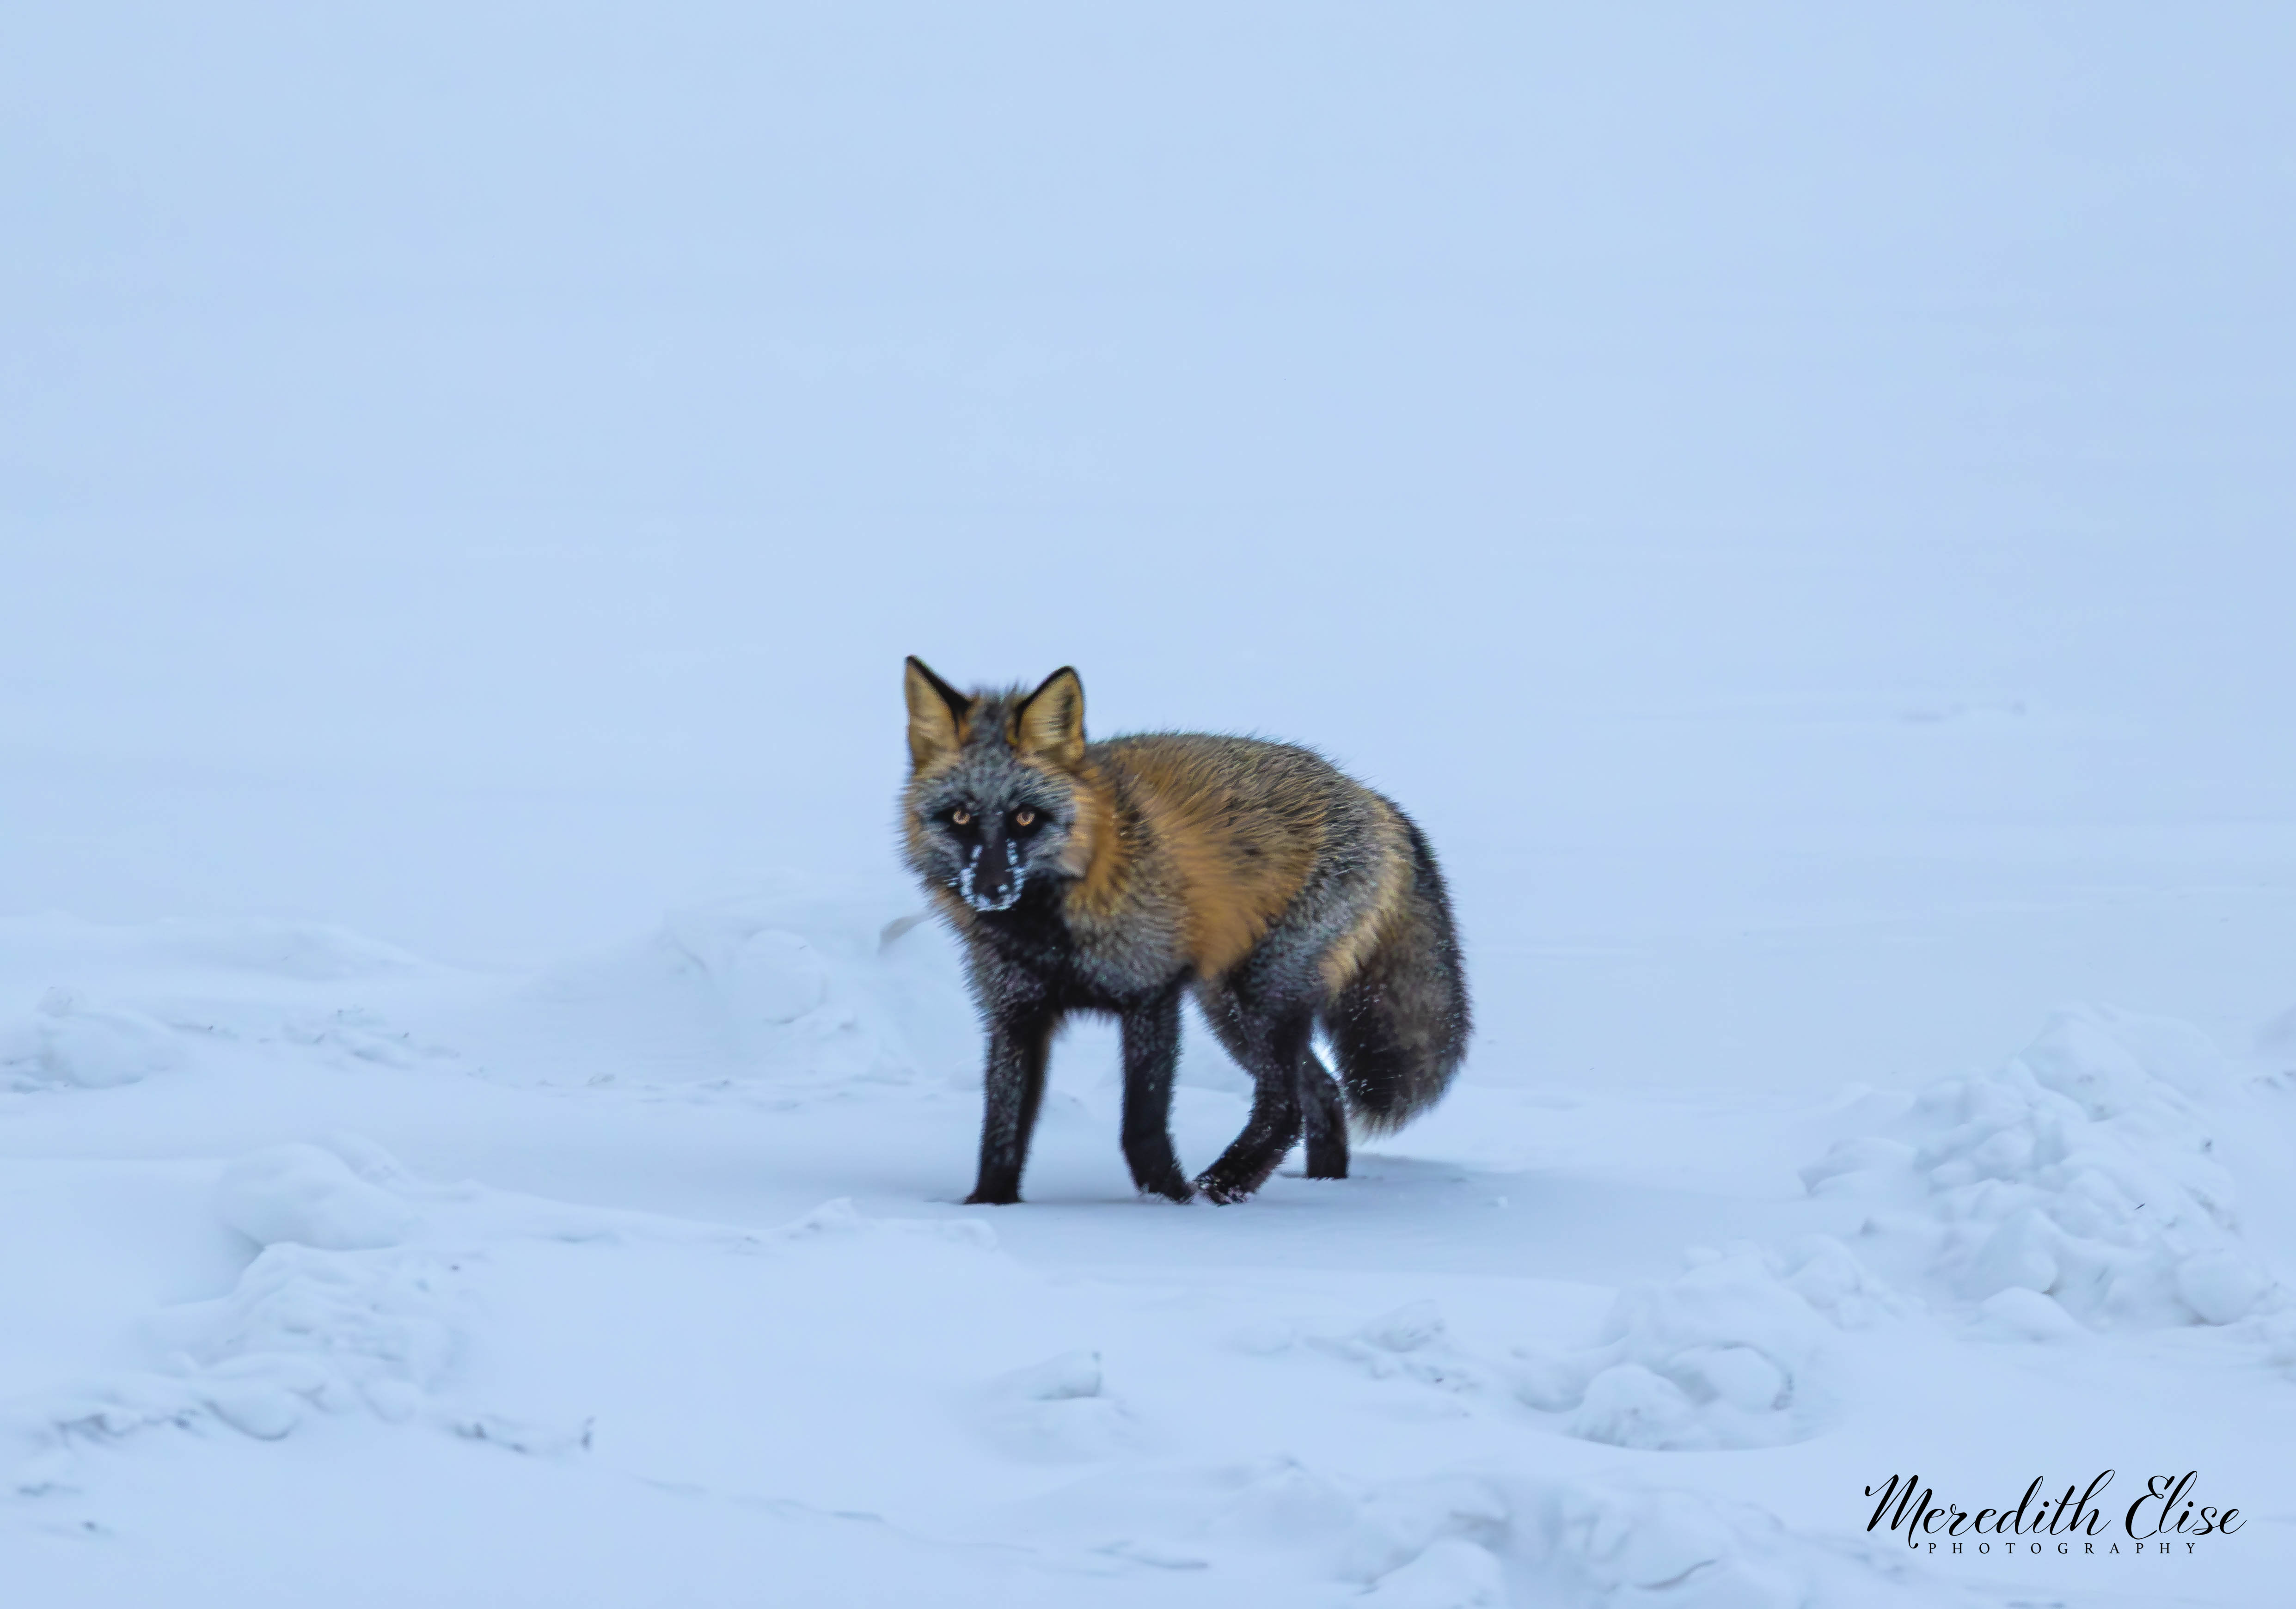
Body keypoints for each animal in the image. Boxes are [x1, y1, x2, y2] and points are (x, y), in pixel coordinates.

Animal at [899, 658, 1470, 1205]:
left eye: (1024, 818)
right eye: (960, 817)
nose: (991, 889)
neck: (1052, 935)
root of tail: (1372, 797)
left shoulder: (1153, 995)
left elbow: (1141, 1125)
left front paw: (1168, 1203)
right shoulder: (1015, 1013)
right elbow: (1001, 1131)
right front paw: (988, 1205)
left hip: (1258, 1000)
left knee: (1286, 1106)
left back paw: (1218, 1190)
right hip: (1231, 1011)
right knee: (1323, 1094)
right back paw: (1320, 1187)